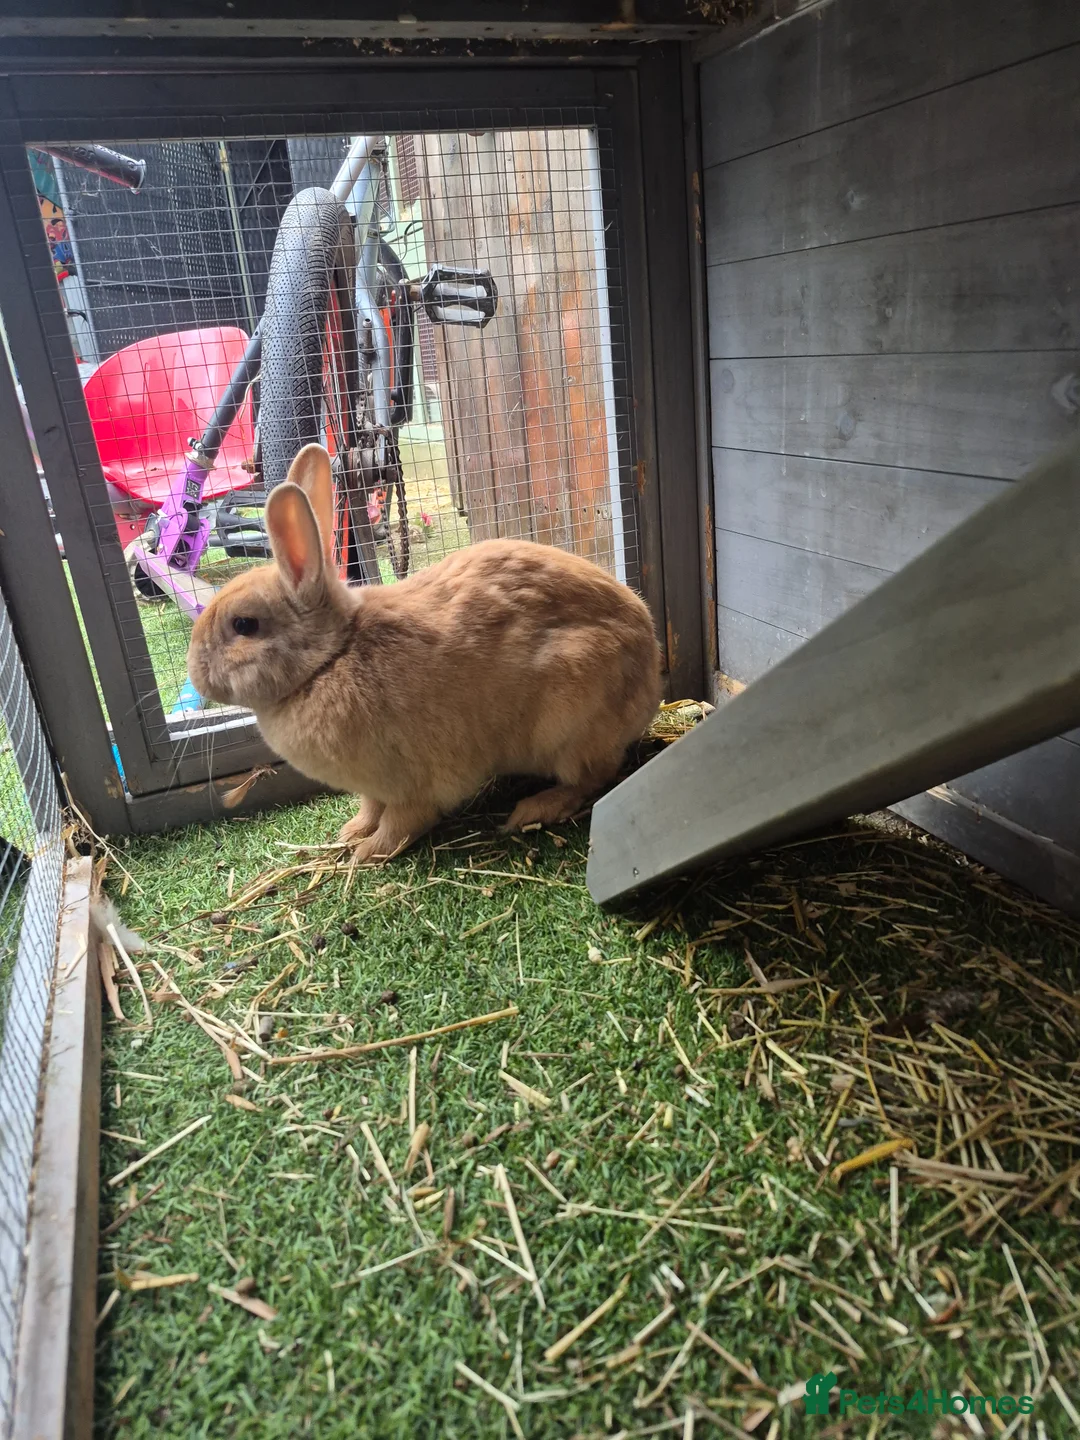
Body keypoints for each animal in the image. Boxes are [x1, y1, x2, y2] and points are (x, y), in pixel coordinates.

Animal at [187, 444, 662, 863]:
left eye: (244, 625)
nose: (194, 672)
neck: (330, 658)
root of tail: (651, 668)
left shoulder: (414, 783)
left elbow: (402, 821)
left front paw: (368, 853)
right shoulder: (374, 787)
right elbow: (370, 808)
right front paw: (351, 831)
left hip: (570, 720)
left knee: (593, 777)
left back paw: (533, 809)